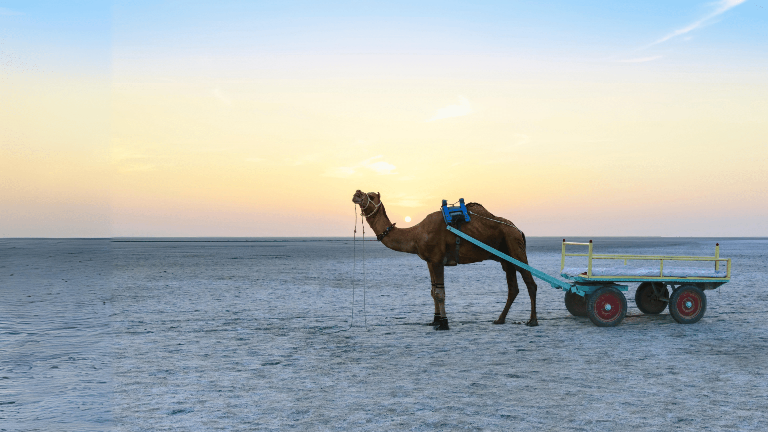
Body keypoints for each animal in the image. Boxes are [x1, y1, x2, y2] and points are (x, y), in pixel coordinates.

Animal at [352, 190, 536, 330]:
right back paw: (500, 319)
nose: (357, 193)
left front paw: (444, 324)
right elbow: (433, 291)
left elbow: (440, 293)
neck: (415, 234)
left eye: (371, 196)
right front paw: (435, 320)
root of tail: (518, 230)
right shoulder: (429, 261)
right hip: (505, 256)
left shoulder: (437, 259)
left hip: (514, 245)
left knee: (530, 282)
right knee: (513, 288)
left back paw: (532, 321)